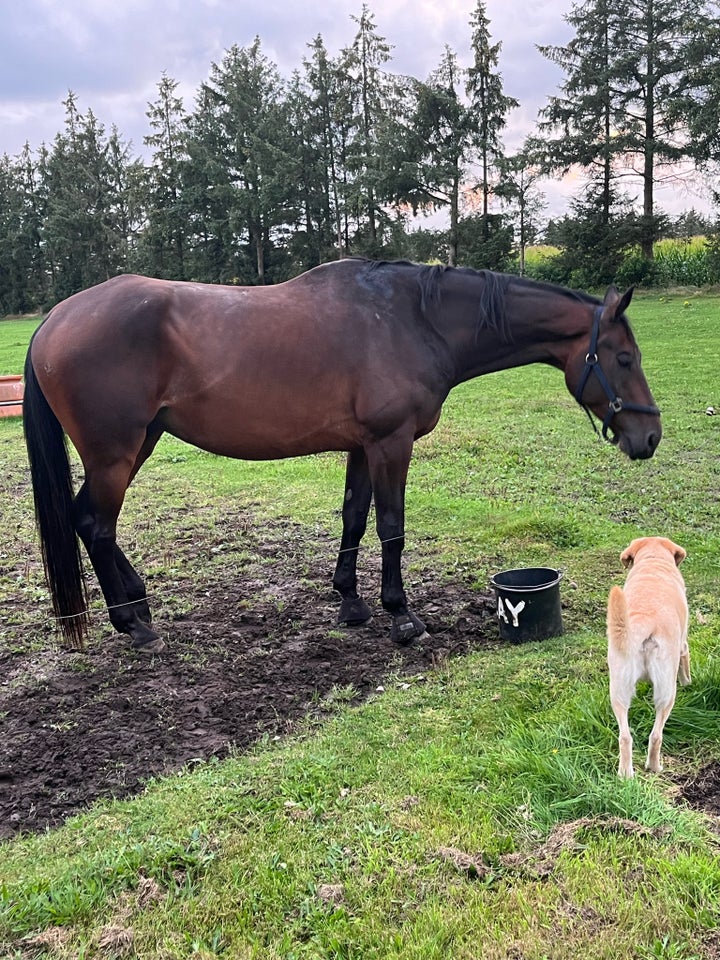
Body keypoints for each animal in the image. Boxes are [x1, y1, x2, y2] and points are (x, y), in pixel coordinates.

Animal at [22, 262, 660, 652]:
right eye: (624, 358)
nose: (649, 437)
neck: (414, 318)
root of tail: (54, 319)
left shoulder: (361, 445)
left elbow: (354, 517)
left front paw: (350, 601)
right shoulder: (391, 443)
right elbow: (391, 526)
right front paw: (400, 614)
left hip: (140, 443)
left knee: (90, 523)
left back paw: (138, 604)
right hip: (115, 453)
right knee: (94, 524)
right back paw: (132, 624)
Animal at [608, 536, 692, 776]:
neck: (653, 560)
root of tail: (644, 621)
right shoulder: (683, 646)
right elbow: (686, 665)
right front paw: (688, 683)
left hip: (618, 692)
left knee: (625, 737)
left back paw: (625, 774)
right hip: (666, 693)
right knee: (656, 735)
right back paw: (655, 767)